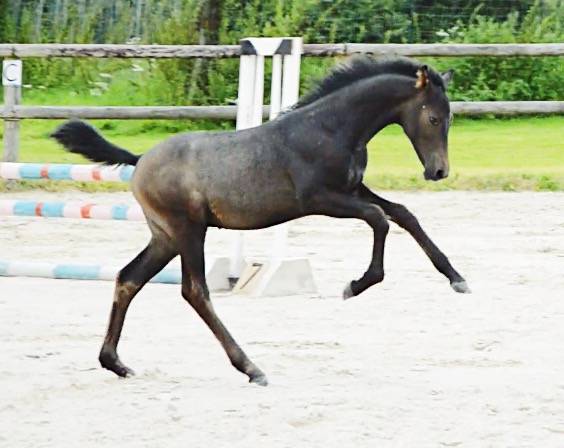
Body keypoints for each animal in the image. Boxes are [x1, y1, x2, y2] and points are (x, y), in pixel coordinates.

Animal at [53, 55, 470, 384]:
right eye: (434, 118)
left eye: (451, 119)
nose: (439, 171)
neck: (331, 128)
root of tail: (140, 161)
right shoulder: (320, 199)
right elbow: (379, 219)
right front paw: (355, 285)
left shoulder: (353, 188)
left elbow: (403, 214)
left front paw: (457, 278)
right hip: (188, 231)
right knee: (194, 291)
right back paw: (251, 368)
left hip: (164, 237)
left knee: (129, 278)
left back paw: (115, 363)